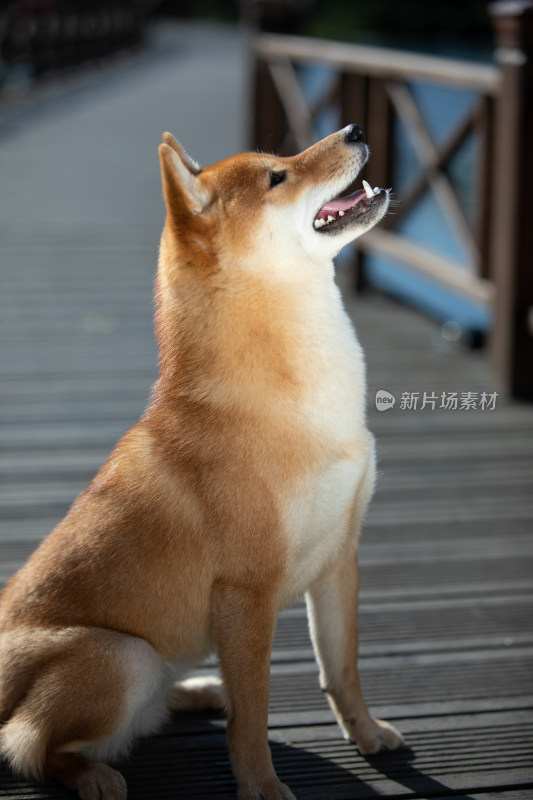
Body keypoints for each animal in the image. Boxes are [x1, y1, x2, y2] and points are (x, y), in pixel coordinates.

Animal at [0, 126, 400, 800]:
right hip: (122, 656)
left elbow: (343, 669)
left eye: (282, 159)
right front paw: (262, 786)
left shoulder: (339, 559)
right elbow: (255, 711)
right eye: (277, 177)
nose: (354, 131)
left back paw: (192, 692)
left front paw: (367, 733)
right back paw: (93, 774)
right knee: (30, 744)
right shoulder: (247, 593)